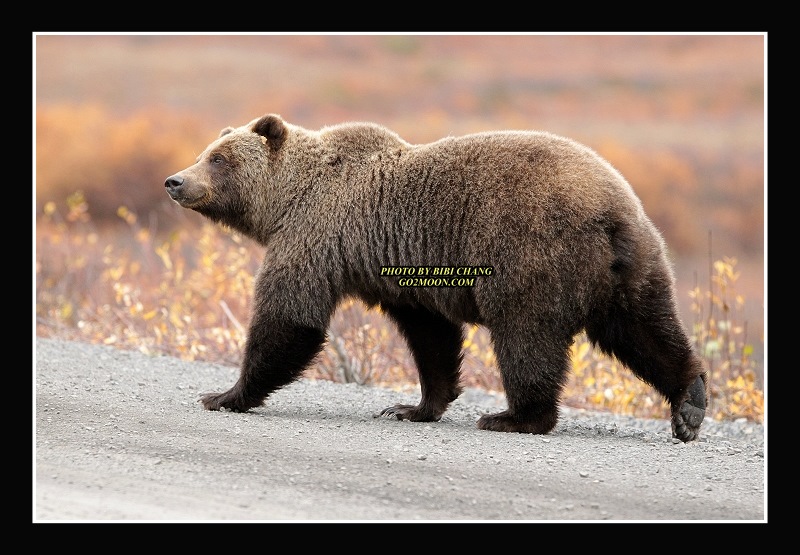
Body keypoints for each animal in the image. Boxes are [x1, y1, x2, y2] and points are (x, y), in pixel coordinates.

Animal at [164, 113, 709, 442]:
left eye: (218, 158)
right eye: (205, 151)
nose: (175, 180)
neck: (287, 199)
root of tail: (610, 213)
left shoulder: (316, 235)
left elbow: (290, 318)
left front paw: (223, 394)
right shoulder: (400, 270)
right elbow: (431, 336)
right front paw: (415, 405)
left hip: (532, 256)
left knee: (527, 338)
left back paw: (514, 416)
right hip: (634, 266)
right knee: (645, 329)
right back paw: (690, 403)